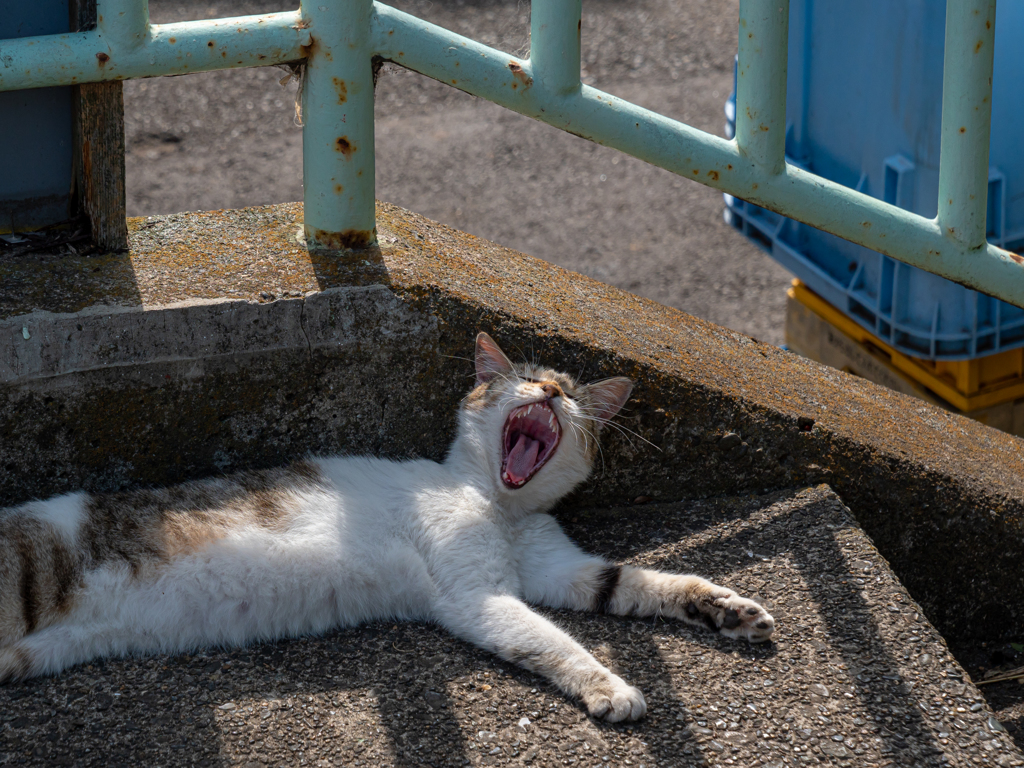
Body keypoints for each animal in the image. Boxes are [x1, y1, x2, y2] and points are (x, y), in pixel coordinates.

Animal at [0, 331, 770, 720]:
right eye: (522, 379)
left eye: (574, 394)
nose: (550, 390)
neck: (501, 505)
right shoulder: (479, 595)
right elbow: (554, 641)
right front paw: (610, 687)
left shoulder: (559, 570)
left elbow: (634, 581)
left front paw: (726, 609)